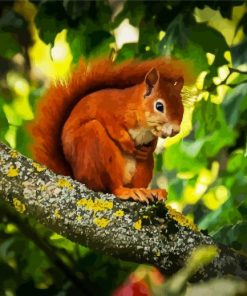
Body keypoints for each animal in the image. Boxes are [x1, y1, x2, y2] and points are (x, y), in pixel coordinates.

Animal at [30, 57, 192, 204]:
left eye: (181, 109)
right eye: (159, 106)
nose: (176, 130)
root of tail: (76, 176)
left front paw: (149, 148)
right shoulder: (107, 109)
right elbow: (113, 127)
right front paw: (127, 143)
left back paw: (149, 191)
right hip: (93, 142)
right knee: (111, 187)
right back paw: (126, 191)